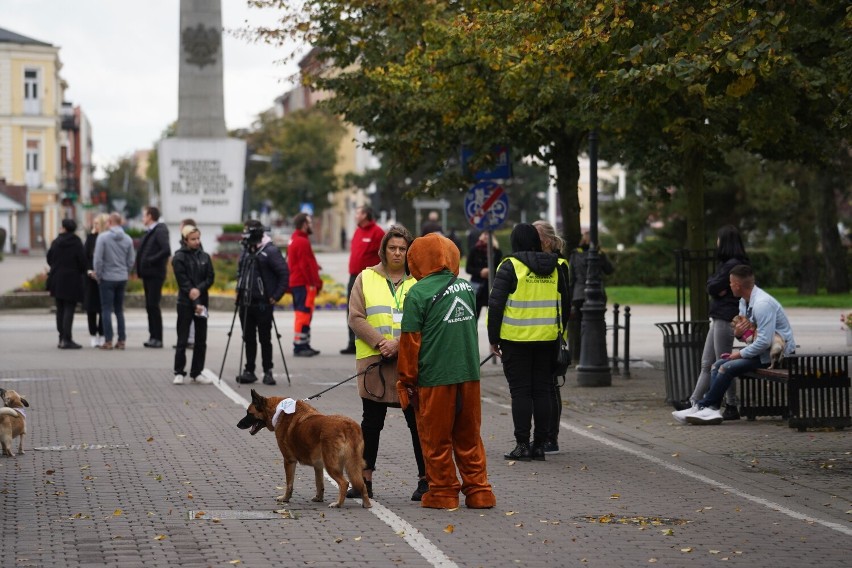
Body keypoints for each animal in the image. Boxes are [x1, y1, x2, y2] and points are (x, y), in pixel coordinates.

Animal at [240, 388, 372, 508]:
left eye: (249, 413)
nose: (238, 424)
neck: (279, 410)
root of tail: (348, 425)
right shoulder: (318, 466)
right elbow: (319, 483)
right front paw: (319, 498)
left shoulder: (289, 461)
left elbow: (289, 484)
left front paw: (285, 498)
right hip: (352, 465)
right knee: (362, 485)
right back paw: (366, 503)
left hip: (331, 465)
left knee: (344, 483)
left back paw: (338, 503)